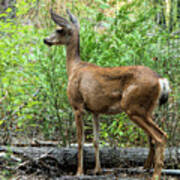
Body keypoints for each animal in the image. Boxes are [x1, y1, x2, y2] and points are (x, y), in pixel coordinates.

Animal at [44, 9, 170, 179]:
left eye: (59, 29)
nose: (45, 40)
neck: (74, 69)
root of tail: (160, 80)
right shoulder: (95, 110)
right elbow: (96, 141)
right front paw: (97, 170)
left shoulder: (77, 105)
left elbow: (80, 141)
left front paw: (79, 172)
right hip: (148, 109)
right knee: (153, 137)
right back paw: (146, 168)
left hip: (133, 107)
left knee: (160, 136)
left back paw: (155, 174)